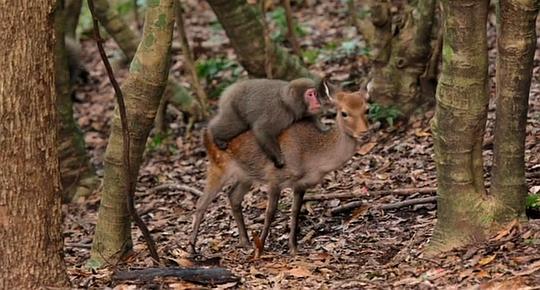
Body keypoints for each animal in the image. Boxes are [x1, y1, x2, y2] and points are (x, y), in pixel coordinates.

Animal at [188, 90, 370, 256]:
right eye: (344, 113)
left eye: (366, 109)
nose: (364, 133)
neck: (312, 159)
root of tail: (204, 131)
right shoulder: (274, 177)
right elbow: (270, 212)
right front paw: (260, 249)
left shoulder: (301, 184)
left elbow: (295, 212)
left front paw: (293, 248)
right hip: (218, 165)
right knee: (202, 202)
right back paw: (192, 248)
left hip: (246, 174)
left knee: (233, 196)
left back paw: (245, 242)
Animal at [208, 77, 338, 168]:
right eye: (310, 95)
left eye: (315, 94)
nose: (317, 102)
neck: (287, 103)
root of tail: (230, 88)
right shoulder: (278, 114)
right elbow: (262, 130)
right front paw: (278, 158)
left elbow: (308, 116)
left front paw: (322, 126)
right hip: (232, 105)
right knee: (235, 125)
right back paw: (215, 135)